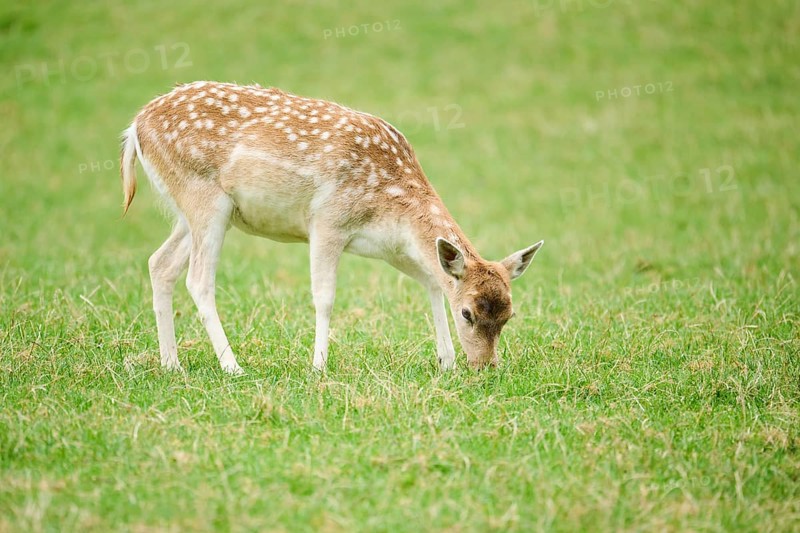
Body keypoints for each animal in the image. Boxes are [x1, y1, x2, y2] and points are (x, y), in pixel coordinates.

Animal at [120, 81, 543, 375]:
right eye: (468, 314)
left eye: (509, 316)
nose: (485, 367)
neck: (392, 206)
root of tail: (134, 126)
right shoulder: (327, 221)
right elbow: (324, 297)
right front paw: (318, 366)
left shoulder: (393, 250)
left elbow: (433, 283)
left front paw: (446, 361)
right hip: (205, 198)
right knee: (198, 279)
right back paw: (232, 366)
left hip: (188, 211)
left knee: (160, 264)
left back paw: (171, 364)